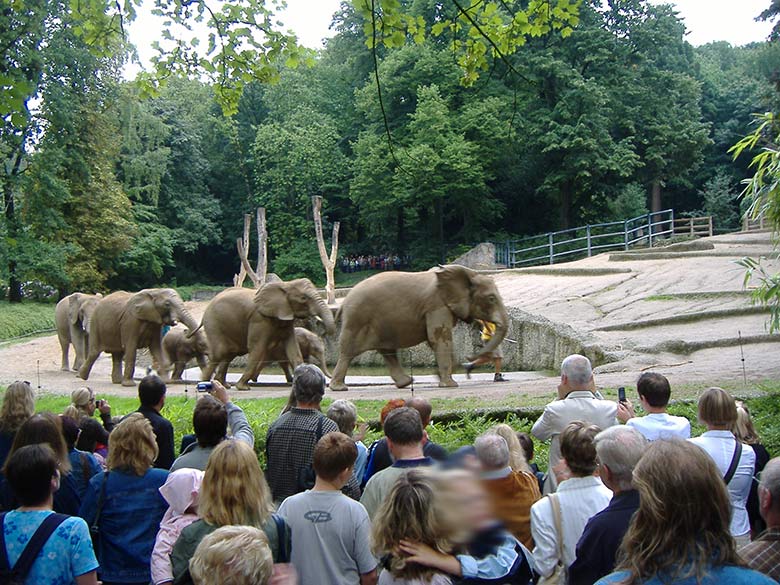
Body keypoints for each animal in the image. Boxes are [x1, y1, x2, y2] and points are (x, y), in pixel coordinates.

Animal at [201, 280, 336, 390]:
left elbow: (293, 349)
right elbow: (257, 347)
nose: (323, 331)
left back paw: (224, 385)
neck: (285, 284)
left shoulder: (286, 316)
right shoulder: (259, 319)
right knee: (220, 352)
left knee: (230, 353)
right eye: (303, 298)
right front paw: (243, 387)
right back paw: (205, 384)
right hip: (213, 323)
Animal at [330, 264, 508, 392]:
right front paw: (450, 385)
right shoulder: (436, 306)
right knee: (349, 351)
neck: (468, 274)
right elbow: (439, 339)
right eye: (491, 298)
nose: (470, 357)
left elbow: (435, 340)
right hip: (357, 319)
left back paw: (406, 383)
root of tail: (344, 302)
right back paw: (339, 388)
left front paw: (441, 376)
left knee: (387, 351)